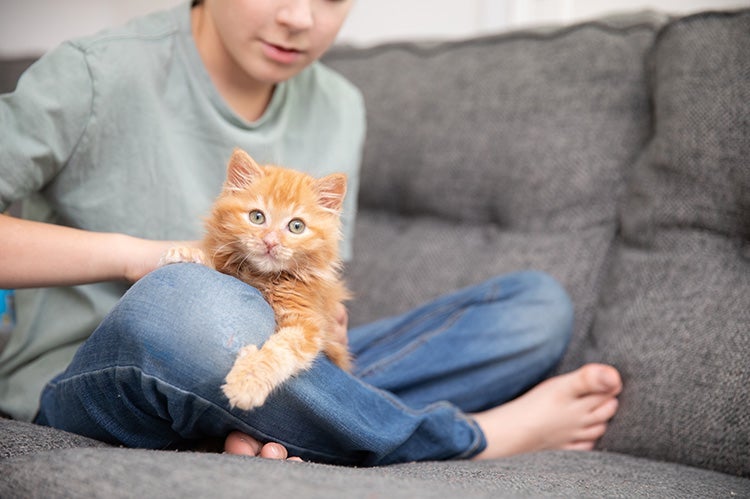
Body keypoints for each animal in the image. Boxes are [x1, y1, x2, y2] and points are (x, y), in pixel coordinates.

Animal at [162, 147, 352, 410]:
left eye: (296, 226)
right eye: (257, 217)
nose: (270, 242)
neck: (262, 277)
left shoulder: (308, 324)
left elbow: (281, 350)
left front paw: (248, 381)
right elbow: (219, 265)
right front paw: (188, 253)